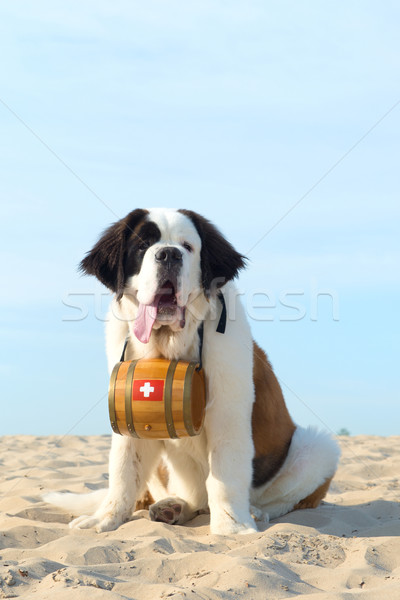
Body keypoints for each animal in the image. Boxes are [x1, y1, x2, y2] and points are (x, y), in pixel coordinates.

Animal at [47, 207, 340, 536]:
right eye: (143, 246)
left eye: (187, 247)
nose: (168, 254)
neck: (170, 342)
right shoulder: (126, 410)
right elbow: (123, 470)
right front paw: (104, 519)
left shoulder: (228, 410)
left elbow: (226, 474)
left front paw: (232, 526)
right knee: (190, 497)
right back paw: (173, 507)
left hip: (316, 447)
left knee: (278, 499)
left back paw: (254, 511)